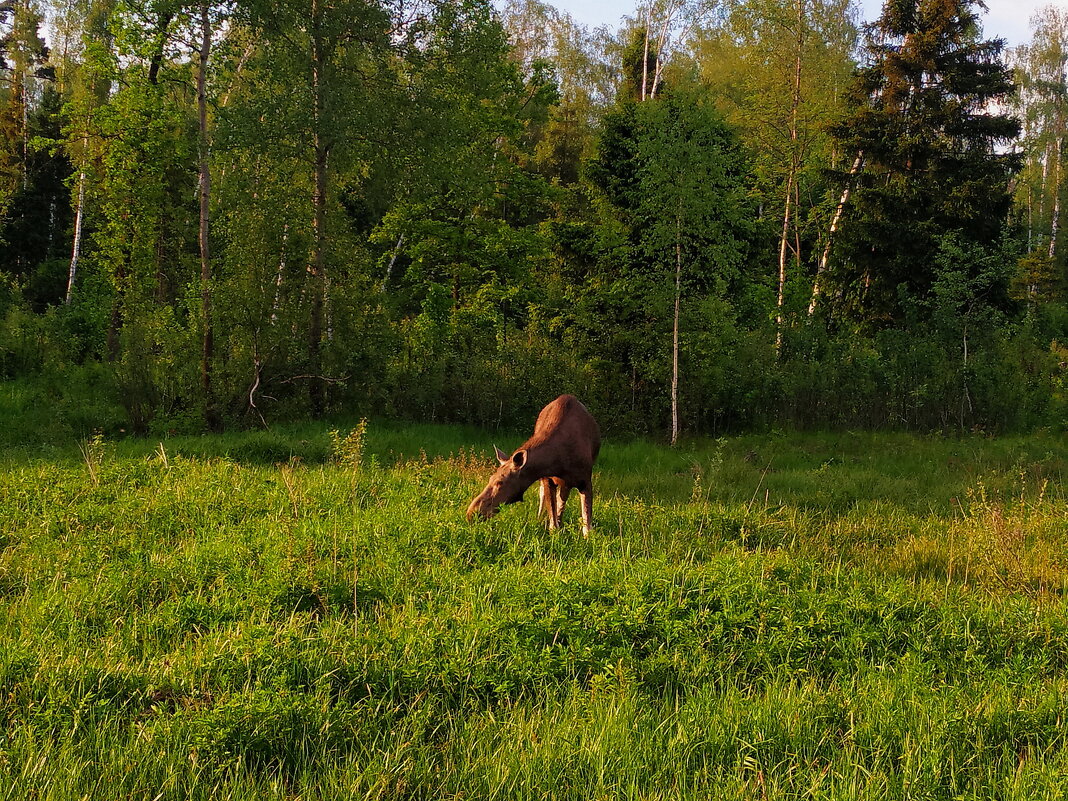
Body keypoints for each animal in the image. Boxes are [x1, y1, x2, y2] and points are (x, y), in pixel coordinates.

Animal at [465, 393, 602, 534]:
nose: (472, 513)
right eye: (490, 478)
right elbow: (553, 524)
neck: (560, 460)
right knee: (545, 496)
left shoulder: (585, 481)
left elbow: (587, 526)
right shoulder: (548, 479)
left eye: (500, 482)